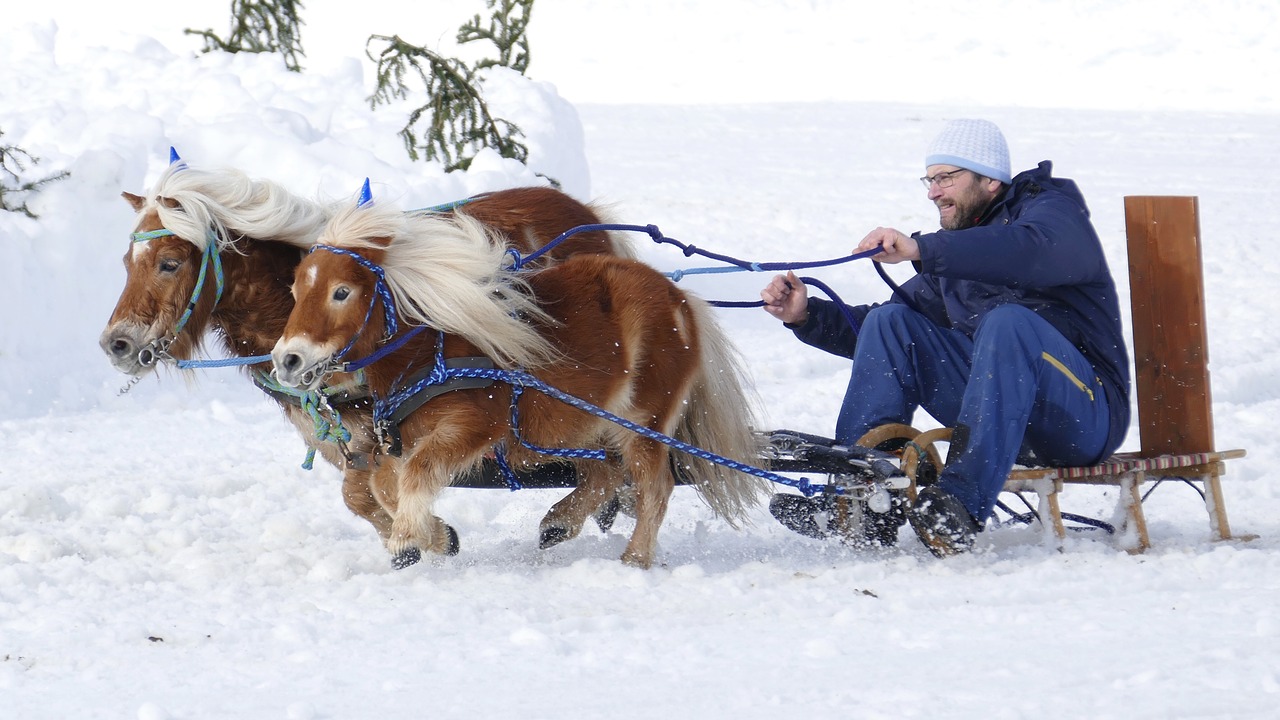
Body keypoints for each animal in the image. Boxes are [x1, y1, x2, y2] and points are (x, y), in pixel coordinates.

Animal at [98, 152, 629, 543]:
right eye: (126, 261)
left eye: (169, 263)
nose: (116, 343)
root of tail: (587, 216)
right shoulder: (339, 438)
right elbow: (363, 498)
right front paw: (431, 537)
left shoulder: (384, 430)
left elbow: (370, 489)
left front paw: (427, 538)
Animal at [271, 192, 768, 566]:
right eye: (295, 290)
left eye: (341, 292)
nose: (287, 360)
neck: (431, 348)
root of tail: (679, 298)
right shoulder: (401, 437)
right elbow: (384, 487)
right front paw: (436, 537)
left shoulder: (471, 427)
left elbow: (416, 475)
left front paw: (408, 538)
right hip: (584, 422)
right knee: (605, 474)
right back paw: (559, 524)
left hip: (643, 421)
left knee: (653, 486)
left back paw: (635, 559)